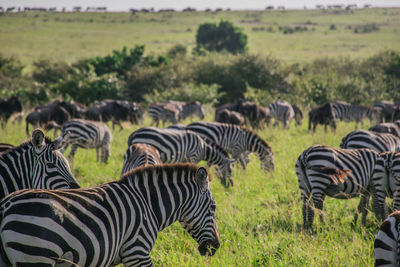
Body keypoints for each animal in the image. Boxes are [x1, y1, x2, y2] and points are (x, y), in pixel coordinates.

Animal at [0, 164, 219, 266]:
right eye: (213, 207)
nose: (215, 247)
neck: (148, 204)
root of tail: (5, 205)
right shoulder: (137, 251)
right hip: (35, 255)